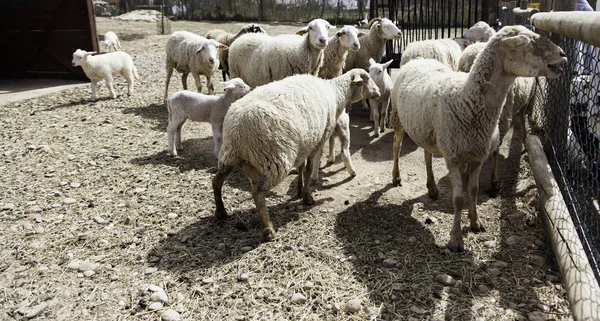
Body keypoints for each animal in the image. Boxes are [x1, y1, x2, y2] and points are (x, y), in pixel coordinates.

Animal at [212, 69, 380, 240]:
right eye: (367, 79)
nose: (378, 92)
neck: (336, 94)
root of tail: (236, 130)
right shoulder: (318, 140)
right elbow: (309, 169)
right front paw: (307, 197)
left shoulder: (304, 143)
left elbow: (301, 167)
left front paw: (299, 190)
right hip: (273, 160)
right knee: (257, 193)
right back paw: (268, 230)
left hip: (229, 155)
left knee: (216, 181)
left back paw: (221, 212)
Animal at [390, 25, 568, 251]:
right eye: (528, 42)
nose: (562, 54)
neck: (466, 100)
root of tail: (418, 59)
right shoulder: (453, 158)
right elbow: (458, 199)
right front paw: (456, 239)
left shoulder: (477, 157)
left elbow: (473, 191)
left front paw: (476, 222)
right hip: (398, 118)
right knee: (396, 147)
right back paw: (396, 177)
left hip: (426, 129)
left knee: (427, 155)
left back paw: (432, 187)